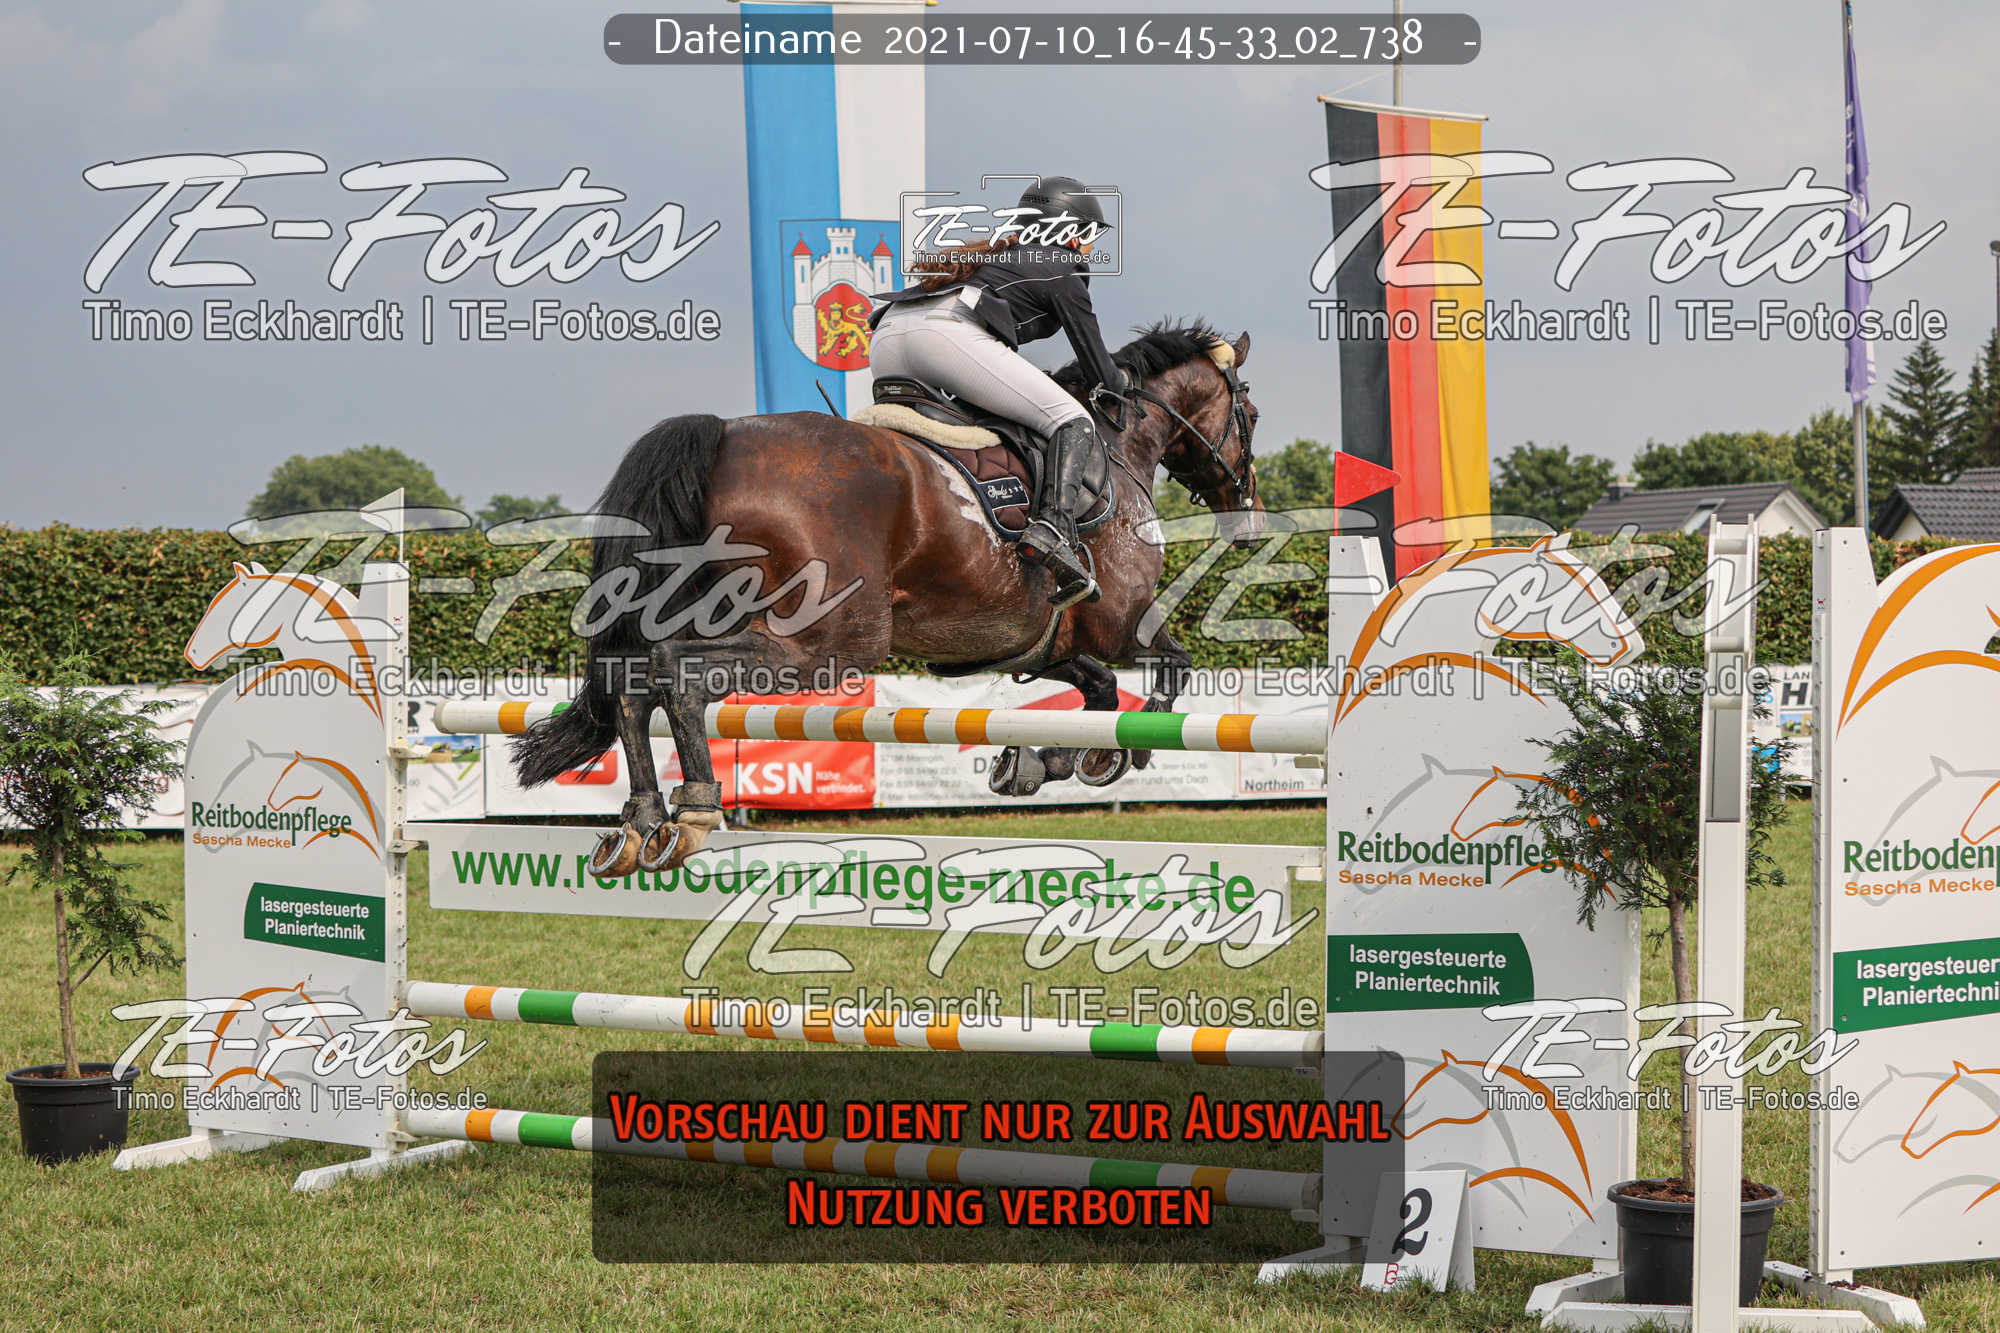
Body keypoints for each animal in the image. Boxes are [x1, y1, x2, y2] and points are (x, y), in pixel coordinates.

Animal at [512, 320, 1263, 876]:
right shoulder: (1120, 621)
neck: (1113, 446)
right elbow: (1171, 667)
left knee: (632, 677)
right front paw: (1120, 755)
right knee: (677, 672)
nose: (1248, 519)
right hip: (829, 641)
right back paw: (693, 811)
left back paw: (641, 821)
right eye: (1250, 413)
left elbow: (1101, 692)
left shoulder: (1038, 641)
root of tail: (724, 436)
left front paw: (1034, 764)